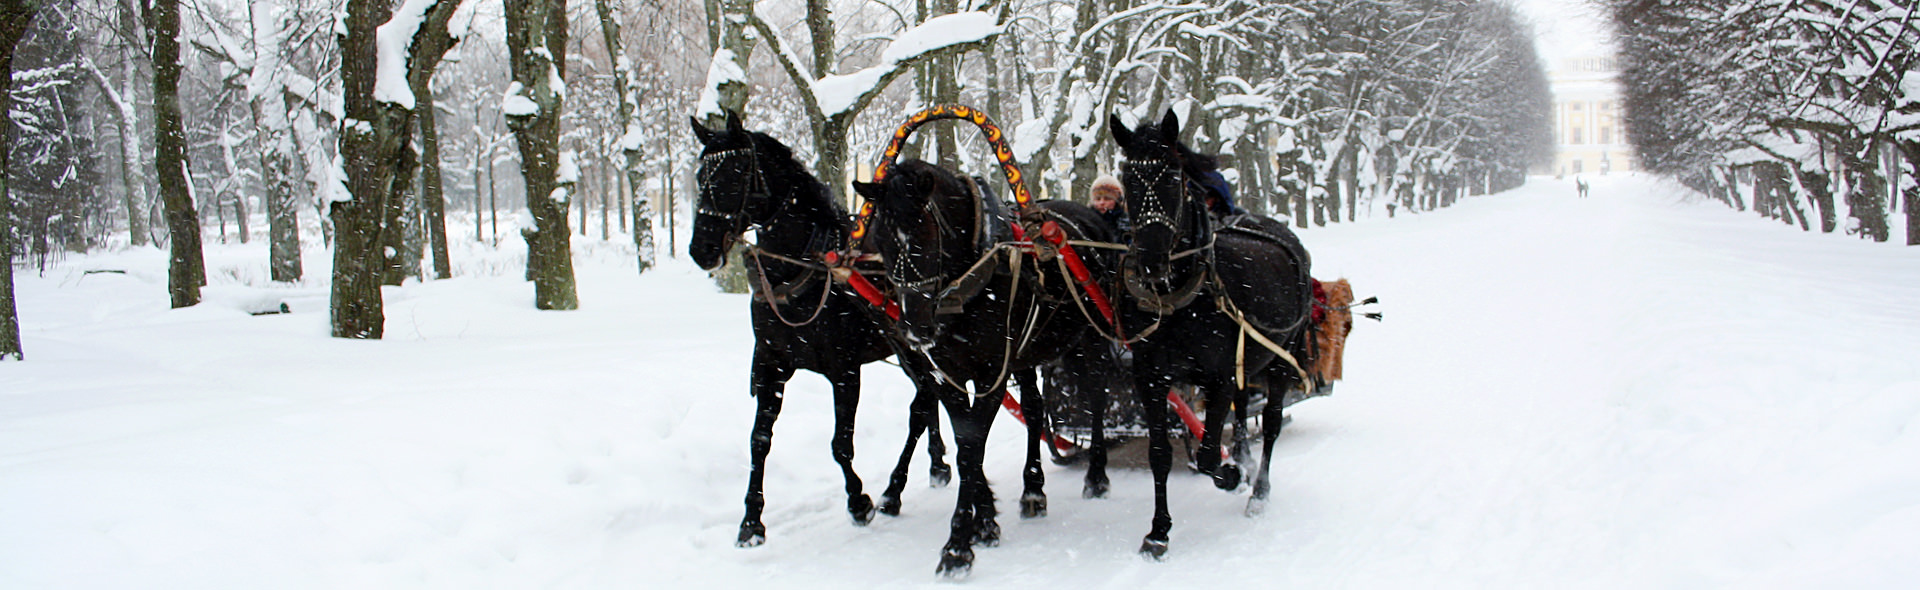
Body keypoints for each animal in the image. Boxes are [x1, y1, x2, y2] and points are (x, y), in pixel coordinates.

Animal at [695, 114, 956, 549]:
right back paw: (936, 464)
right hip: (907, 348)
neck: (804, 268)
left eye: (734, 174)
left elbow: (841, 445)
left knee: (921, 405)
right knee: (928, 396)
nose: (701, 249)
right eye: (700, 176)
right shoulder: (770, 366)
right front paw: (751, 521)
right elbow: (759, 441)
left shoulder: (844, 371)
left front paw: (859, 501)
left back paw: (894, 489)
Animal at [852, 160, 1121, 576]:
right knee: (1034, 408)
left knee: (1096, 396)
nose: (914, 329)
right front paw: (985, 522)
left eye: (924, 236)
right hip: (1026, 352)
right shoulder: (947, 376)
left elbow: (971, 449)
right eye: (879, 240)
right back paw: (1033, 490)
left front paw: (958, 546)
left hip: (1091, 335)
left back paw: (1096, 476)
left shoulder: (990, 374)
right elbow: (966, 446)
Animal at [1105, 110, 1313, 561]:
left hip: (1282, 356)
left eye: (1173, 177)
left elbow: (1204, 455)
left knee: (1271, 422)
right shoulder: (1151, 377)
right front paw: (1158, 532)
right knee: (1244, 409)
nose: (1151, 262)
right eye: (1128, 178)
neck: (1177, 299)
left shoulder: (1218, 377)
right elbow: (1161, 454)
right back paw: (1245, 462)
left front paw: (1231, 475)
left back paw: (1258, 490)